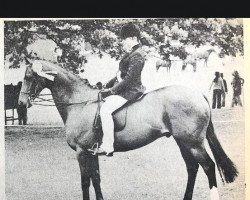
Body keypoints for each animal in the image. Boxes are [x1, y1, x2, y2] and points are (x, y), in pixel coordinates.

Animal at [18, 59, 237, 200]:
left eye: (29, 77)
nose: (21, 103)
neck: (80, 103)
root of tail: (197, 94)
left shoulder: (82, 152)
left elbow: (85, 182)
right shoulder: (91, 152)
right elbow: (96, 179)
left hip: (193, 143)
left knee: (208, 166)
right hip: (183, 142)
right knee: (192, 168)